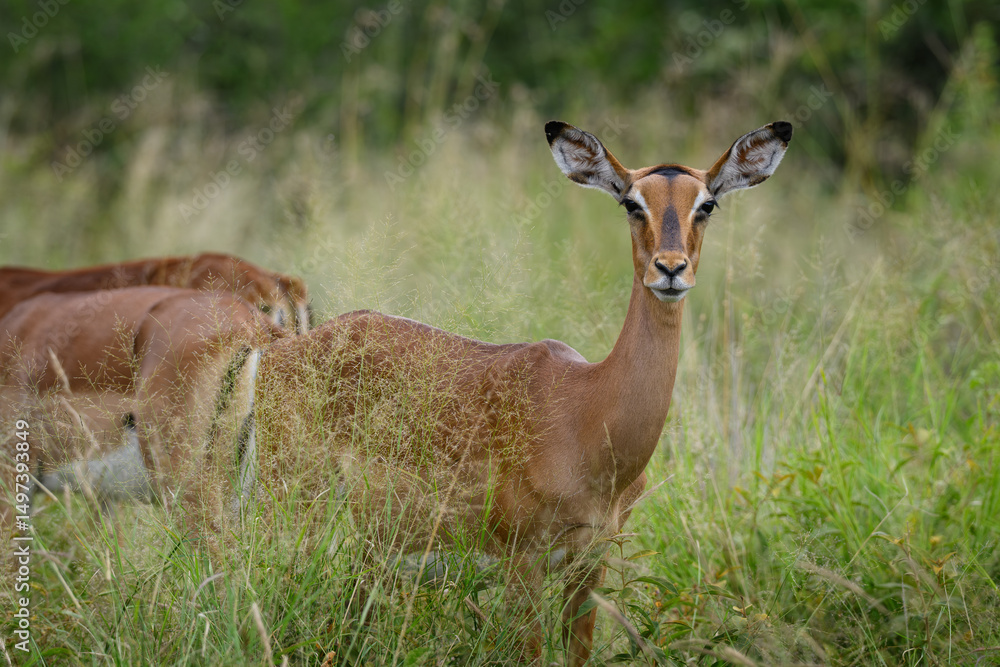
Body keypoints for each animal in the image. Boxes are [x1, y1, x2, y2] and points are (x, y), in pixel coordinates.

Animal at [223, 120, 791, 664]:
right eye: (632, 203)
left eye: (707, 204)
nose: (670, 269)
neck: (589, 414)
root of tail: (272, 353)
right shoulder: (524, 563)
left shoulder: (591, 563)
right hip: (293, 510)